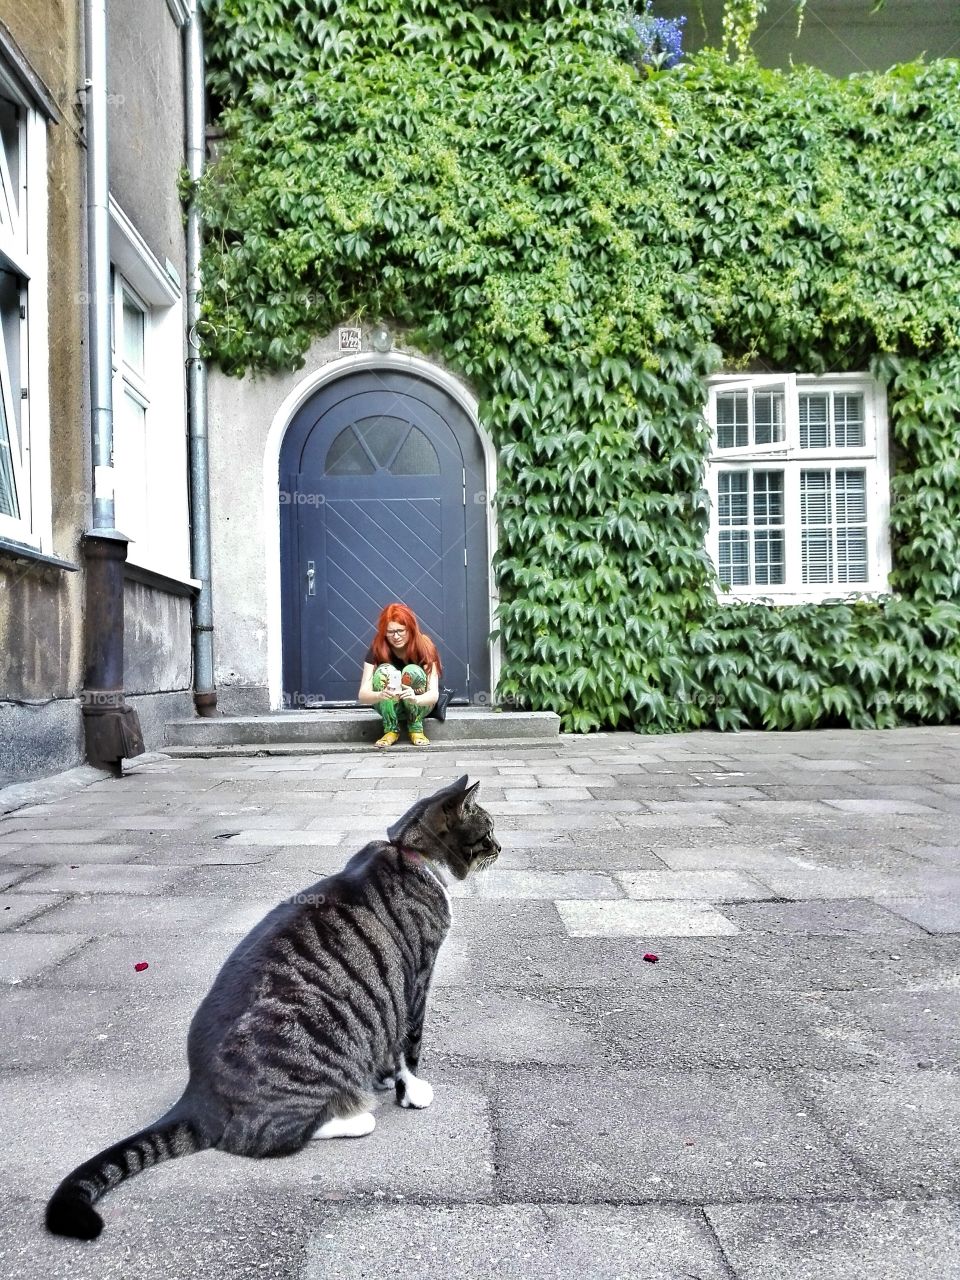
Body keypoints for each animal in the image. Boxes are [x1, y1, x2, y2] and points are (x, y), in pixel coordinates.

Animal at [44, 773, 499, 1233]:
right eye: (488, 831)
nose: (500, 847)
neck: (410, 852)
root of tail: (198, 1095)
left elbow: (390, 1040)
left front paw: (387, 1077)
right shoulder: (416, 975)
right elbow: (411, 1042)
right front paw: (412, 1091)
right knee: (261, 1137)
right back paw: (354, 1116)